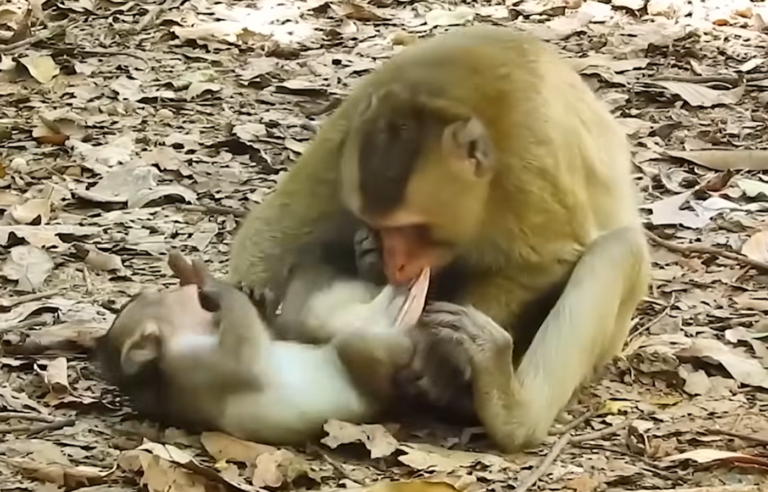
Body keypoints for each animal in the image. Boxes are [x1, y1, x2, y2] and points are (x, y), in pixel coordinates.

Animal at [94, 251, 430, 445]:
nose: (184, 288)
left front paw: (256, 300)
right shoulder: (193, 368)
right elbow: (243, 357)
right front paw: (211, 284)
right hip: (370, 369)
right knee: (359, 347)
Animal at [226, 25, 651, 452]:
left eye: (414, 228)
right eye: (385, 227)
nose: (396, 261)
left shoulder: (533, 159)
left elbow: (547, 260)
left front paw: (439, 359)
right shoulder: (352, 124)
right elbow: (284, 216)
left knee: (618, 250)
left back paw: (512, 411)